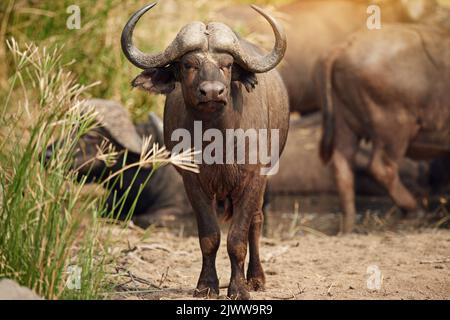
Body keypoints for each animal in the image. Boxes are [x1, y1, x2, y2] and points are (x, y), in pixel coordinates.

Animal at [120, 3, 288, 300]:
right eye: (189, 64)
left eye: (227, 65)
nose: (212, 92)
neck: (218, 141)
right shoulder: (192, 181)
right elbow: (210, 236)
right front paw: (206, 285)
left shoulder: (253, 179)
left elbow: (237, 238)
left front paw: (239, 288)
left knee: (256, 222)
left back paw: (256, 279)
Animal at [318, 1, 450, 232]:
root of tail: (347, 44)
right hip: (394, 128)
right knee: (382, 167)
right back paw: (415, 210)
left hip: (345, 123)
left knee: (342, 165)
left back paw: (349, 222)